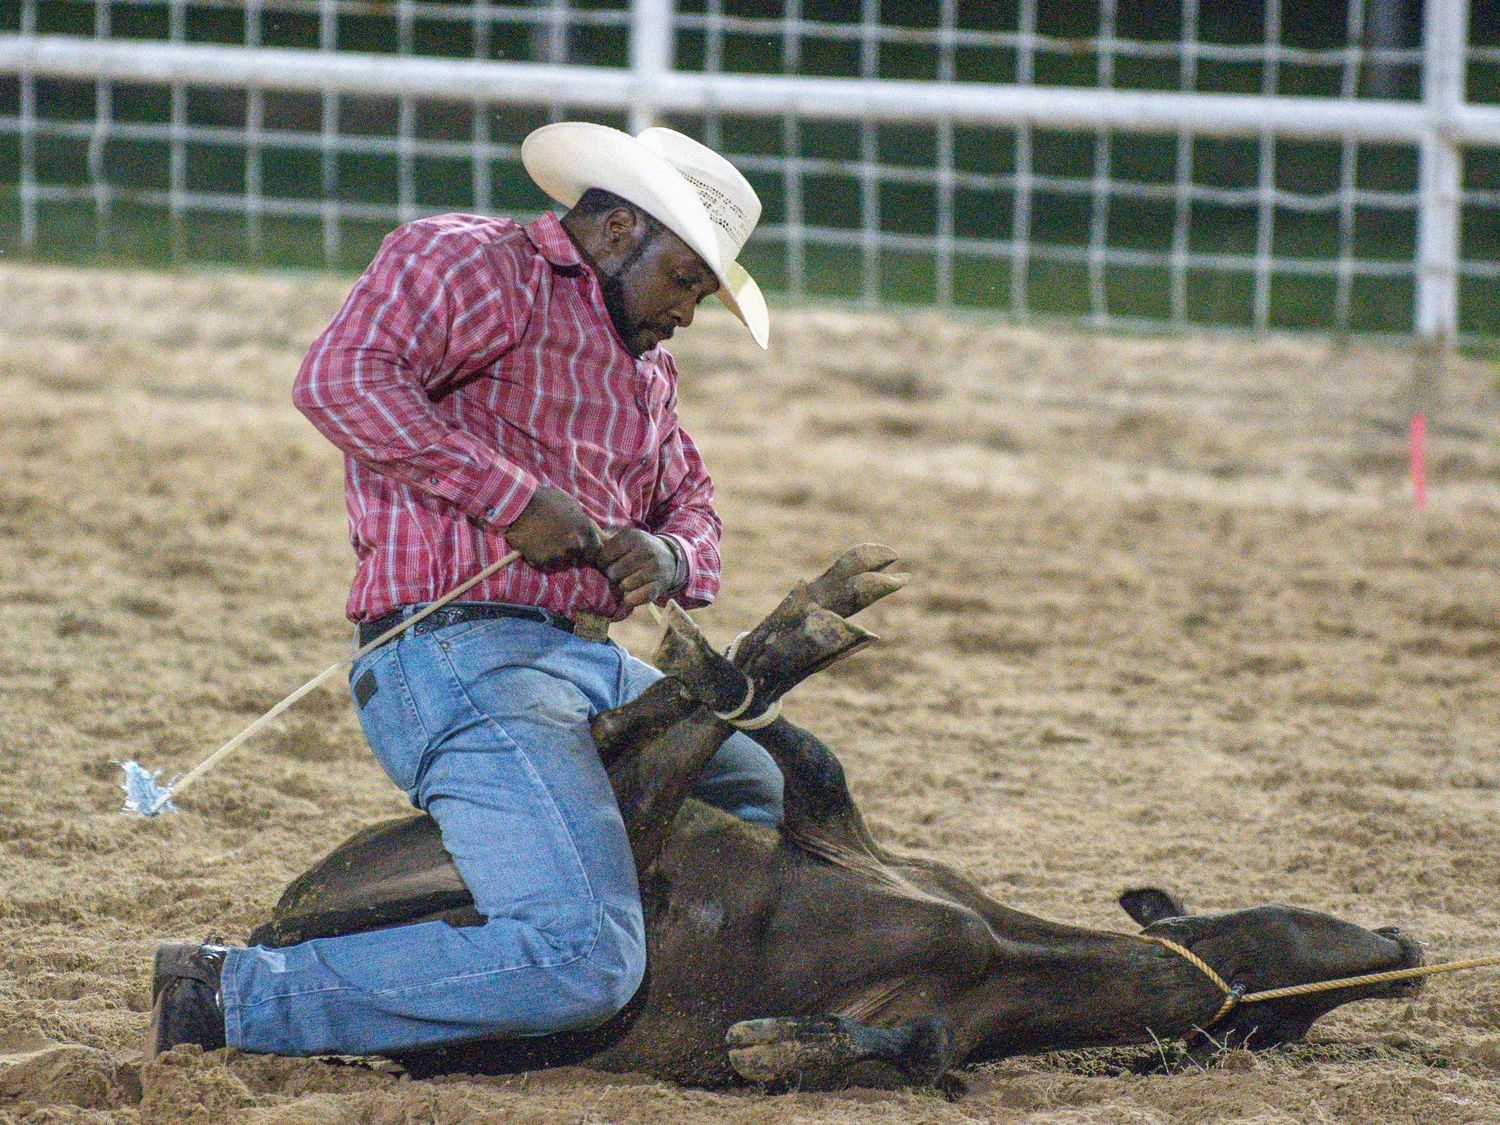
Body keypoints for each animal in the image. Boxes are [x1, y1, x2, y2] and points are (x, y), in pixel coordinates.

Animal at [249, 546, 1424, 1090]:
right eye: (1300, 931)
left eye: (1279, 1027)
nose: (1406, 946)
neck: (997, 951)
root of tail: (275, 929)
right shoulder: (845, 836)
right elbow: (810, 757)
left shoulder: (933, 1017)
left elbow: (907, 1050)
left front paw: (782, 1045)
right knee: (646, 742)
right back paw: (792, 624)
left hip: (591, 872)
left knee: (642, 765)